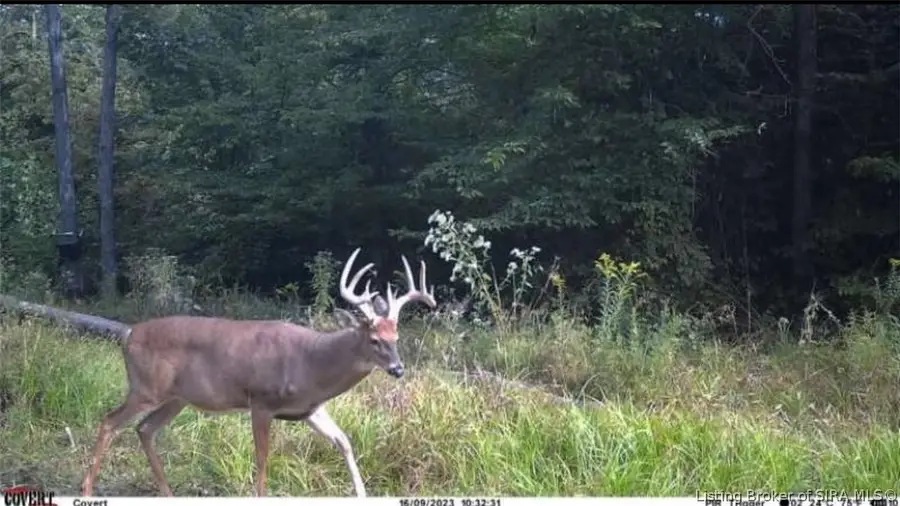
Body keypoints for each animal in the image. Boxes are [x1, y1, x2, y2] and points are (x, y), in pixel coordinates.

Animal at [80, 247, 437, 497]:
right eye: (375, 340)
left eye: (396, 337)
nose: (398, 369)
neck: (311, 364)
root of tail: (128, 334)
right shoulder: (261, 401)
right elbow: (263, 458)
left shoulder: (310, 410)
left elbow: (344, 442)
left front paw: (361, 494)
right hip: (146, 386)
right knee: (110, 422)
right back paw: (88, 489)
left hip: (176, 398)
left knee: (145, 429)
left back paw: (168, 493)